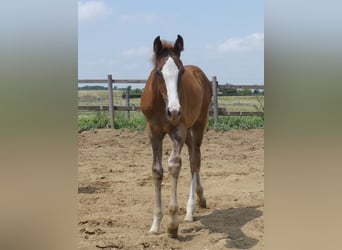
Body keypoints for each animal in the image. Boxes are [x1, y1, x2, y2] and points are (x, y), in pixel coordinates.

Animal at [140, 35, 211, 238]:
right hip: (187, 131)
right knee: (192, 155)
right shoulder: (153, 132)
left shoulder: (178, 130)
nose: (174, 111)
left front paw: (172, 224)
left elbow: (174, 165)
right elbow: (157, 171)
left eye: (181, 71)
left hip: (198, 123)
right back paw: (200, 197)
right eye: (158, 72)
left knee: (195, 160)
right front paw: (155, 224)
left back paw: (190, 210)